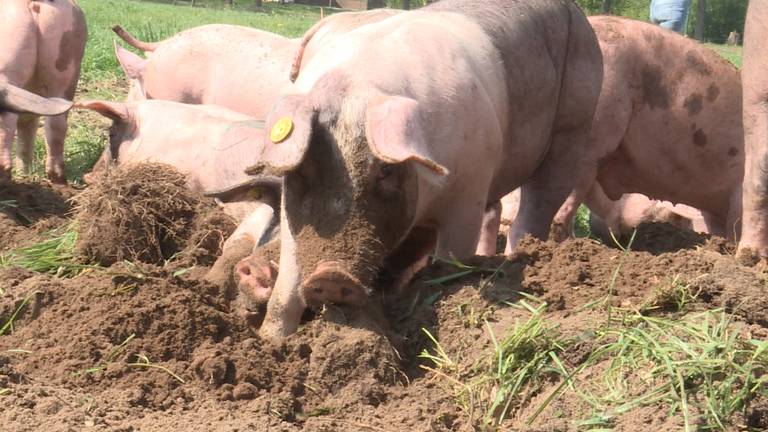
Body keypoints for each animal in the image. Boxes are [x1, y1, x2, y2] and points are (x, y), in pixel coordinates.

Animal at [237, 0, 604, 340]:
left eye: (385, 170)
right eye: (304, 168)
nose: (330, 276)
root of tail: (576, 13)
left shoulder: (468, 195)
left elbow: (451, 258)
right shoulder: (294, 211)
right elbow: (289, 278)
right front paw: (271, 340)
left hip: (573, 131)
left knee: (534, 210)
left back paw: (520, 259)